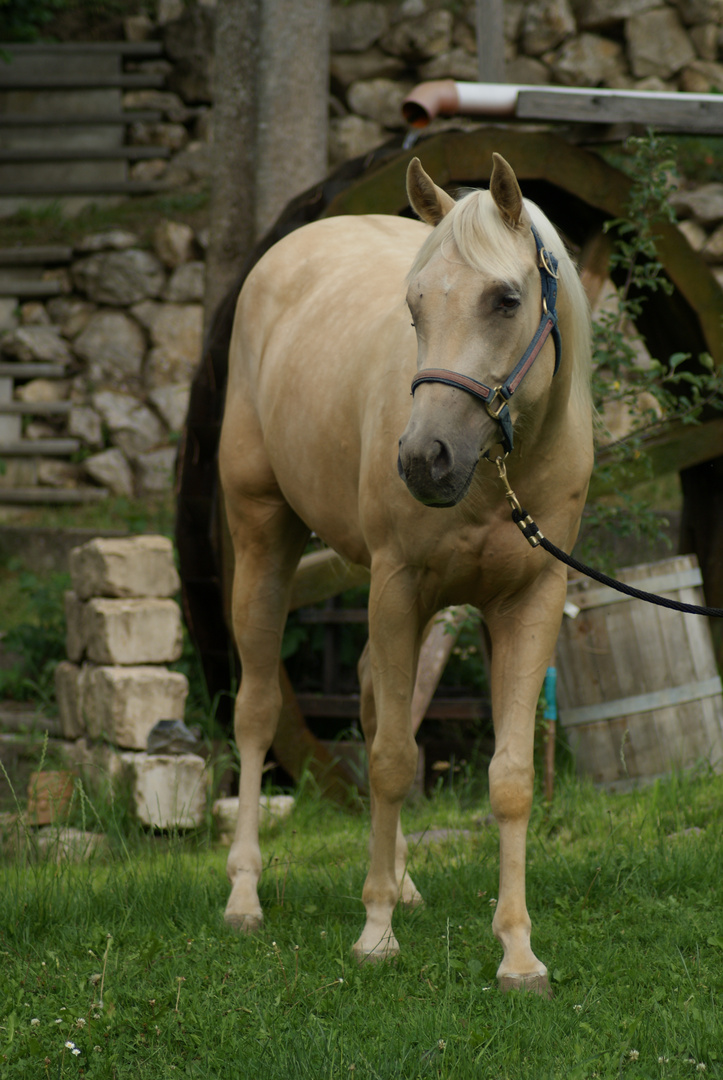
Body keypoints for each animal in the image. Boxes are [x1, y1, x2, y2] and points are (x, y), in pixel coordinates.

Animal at [220, 154, 592, 993]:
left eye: (506, 298)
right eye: (413, 305)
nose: (423, 459)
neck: (497, 473)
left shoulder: (529, 601)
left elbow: (509, 776)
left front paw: (517, 952)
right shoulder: (398, 587)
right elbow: (390, 762)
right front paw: (375, 933)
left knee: (367, 697)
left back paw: (402, 881)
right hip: (263, 542)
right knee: (257, 712)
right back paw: (244, 893)